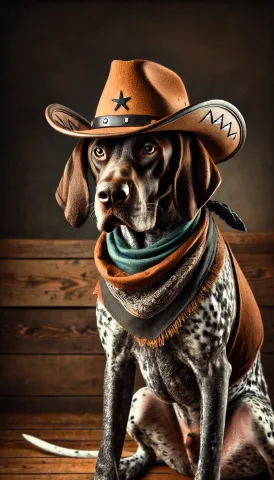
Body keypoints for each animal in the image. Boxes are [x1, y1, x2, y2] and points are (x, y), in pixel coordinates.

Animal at [22, 59, 274, 476]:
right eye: (98, 151)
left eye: (148, 146)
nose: (110, 195)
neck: (148, 261)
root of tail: (184, 455)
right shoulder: (117, 360)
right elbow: (107, 445)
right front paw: (109, 470)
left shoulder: (213, 368)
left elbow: (210, 456)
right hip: (141, 400)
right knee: (149, 452)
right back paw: (131, 465)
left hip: (255, 414)